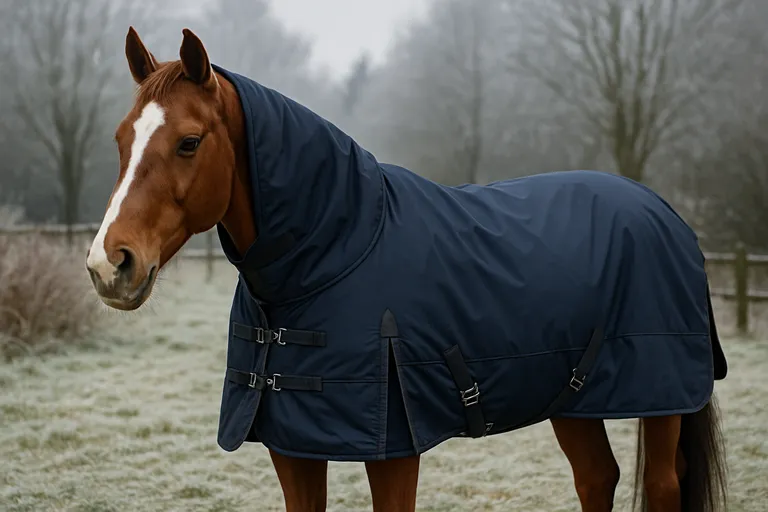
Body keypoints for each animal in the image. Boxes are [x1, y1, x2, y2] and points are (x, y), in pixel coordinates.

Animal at [85, 27, 728, 511]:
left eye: (189, 142)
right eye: (120, 139)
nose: (109, 263)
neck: (337, 249)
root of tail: (665, 212)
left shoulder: (393, 449)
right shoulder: (292, 446)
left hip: (660, 397)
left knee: (662, 489)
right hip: (572, 401)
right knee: (597, 478)